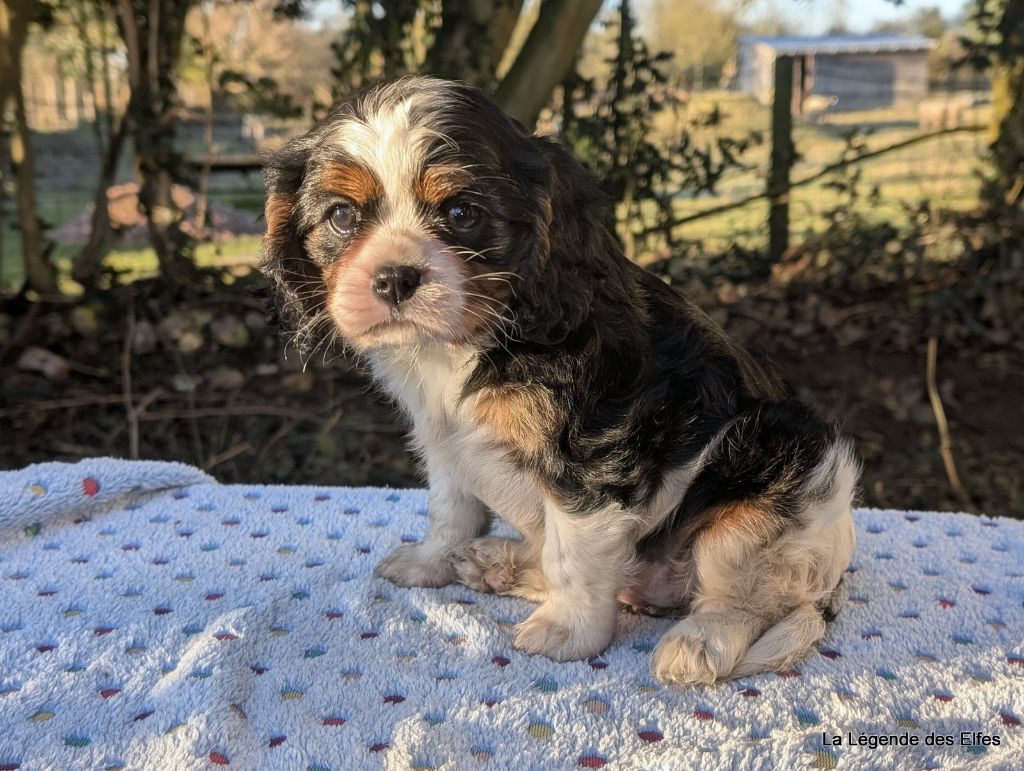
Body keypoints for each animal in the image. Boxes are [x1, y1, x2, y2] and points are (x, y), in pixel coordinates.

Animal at [260, 75, 860, 683]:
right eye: (341, 216)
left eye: (462, 212)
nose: (394, 277)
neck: (474, 340)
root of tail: (830, 580)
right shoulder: (444, 442)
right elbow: (452, 511)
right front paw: (430, 563)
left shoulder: (591, 462)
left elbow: (571, 554)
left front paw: (568, 633)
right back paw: (496, 564)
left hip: (772, 491)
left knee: (742, 600)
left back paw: (695, 643)